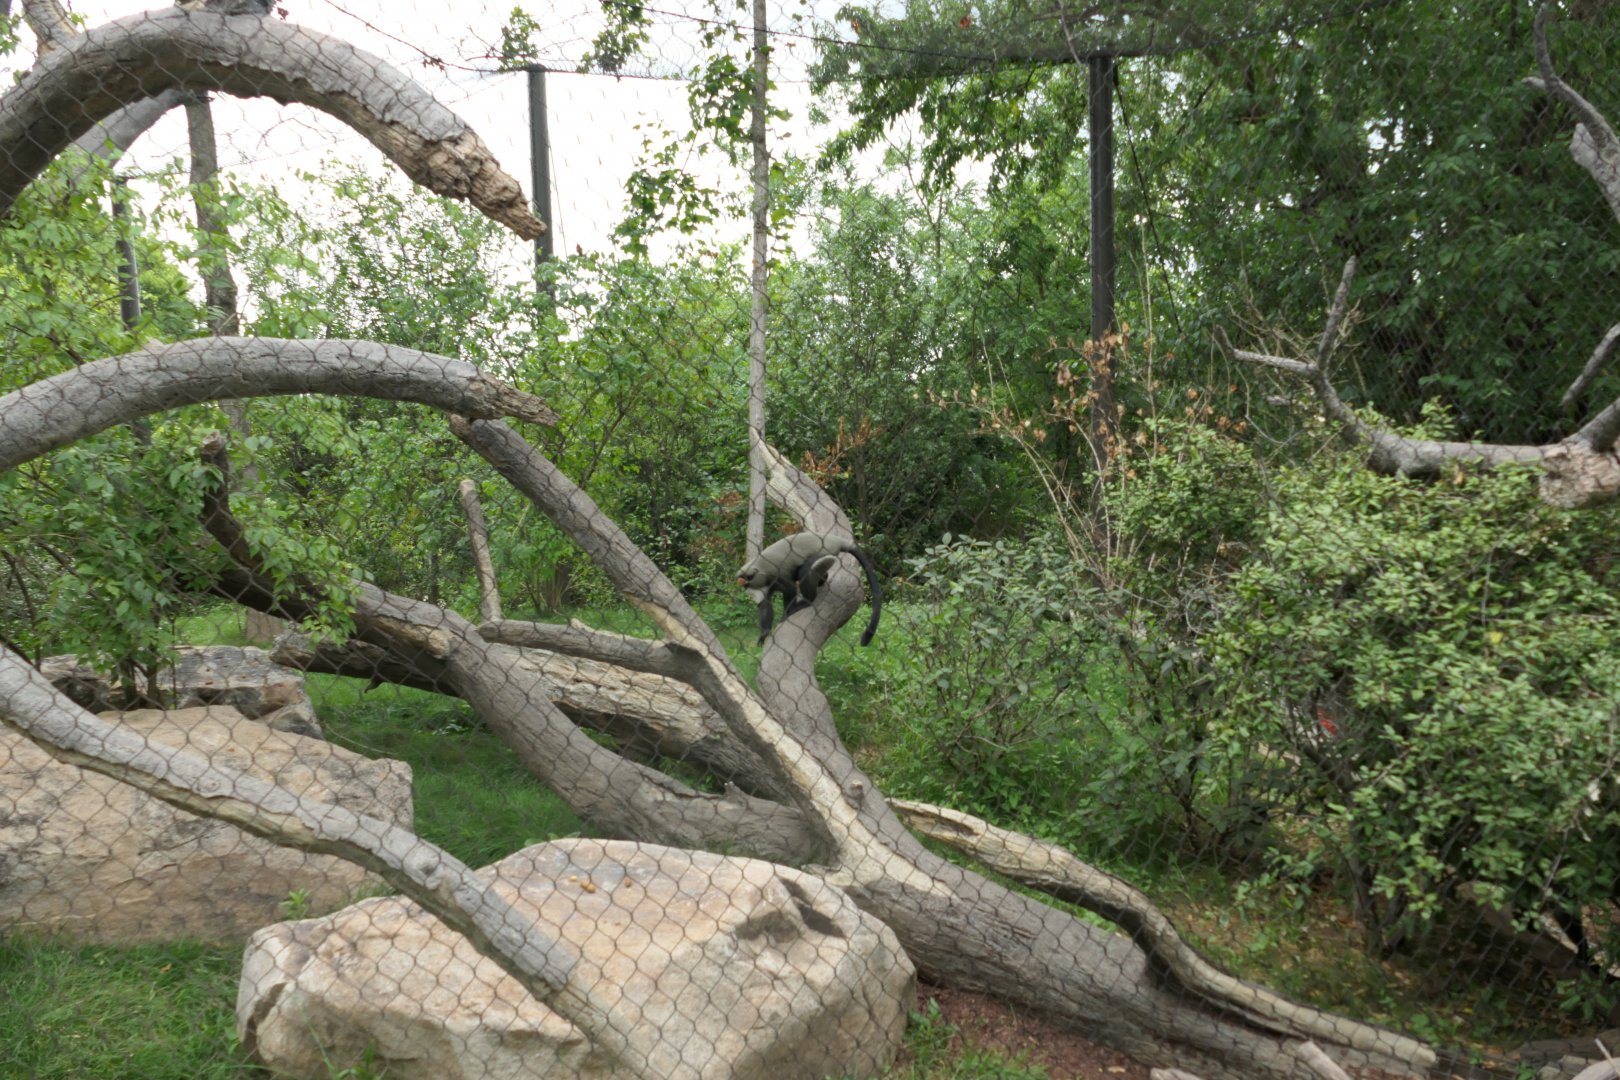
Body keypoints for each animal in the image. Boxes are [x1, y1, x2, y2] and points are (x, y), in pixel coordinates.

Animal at [736, 532, 882, 647]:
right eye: (744, 586)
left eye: (748, 581)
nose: (748, 592)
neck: (760, 568)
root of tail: (836, 540)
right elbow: (765, 605)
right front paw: (764, 633)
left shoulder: (777, 576)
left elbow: (790, 590)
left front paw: (786, 613)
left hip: (824, 553)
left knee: (805, 570)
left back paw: (807, 601)